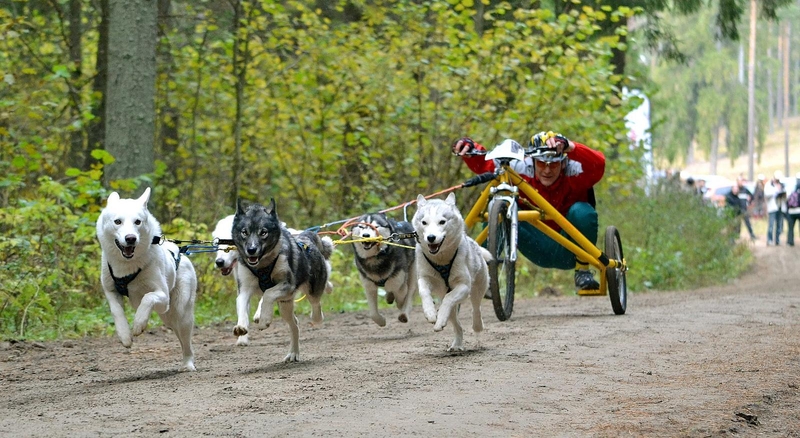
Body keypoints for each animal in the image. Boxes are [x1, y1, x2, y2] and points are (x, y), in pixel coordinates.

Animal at [96, 188, 198, 370]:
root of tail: (182, 253)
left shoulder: (163, 296)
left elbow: (148, 297)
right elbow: (116, 311)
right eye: (117, 221)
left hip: (180, 311)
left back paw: (188, 363)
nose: (130, 238)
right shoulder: (110, 290)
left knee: (186, 341)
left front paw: (138, 324)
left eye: (138, 222)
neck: (128, 267)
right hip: (167, 316)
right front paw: (125, 335)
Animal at [233, 199, 332, 362]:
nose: (251, 250)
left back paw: (316, 317)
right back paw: (293, 353)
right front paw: (241, 326)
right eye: (244, 232)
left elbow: (267, 294)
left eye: (263, 232)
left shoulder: (288, 284)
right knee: (294, 325)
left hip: (310, 290)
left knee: (316, 305)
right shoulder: (245, 288)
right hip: (285, 304)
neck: (262, 266)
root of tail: (307, 236)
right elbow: (242, 306)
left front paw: (264, 319)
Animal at [416, 193, 490, 350]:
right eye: (424, 222)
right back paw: (455, 342)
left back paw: (477, 326)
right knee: (457, 324)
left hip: (477, 288)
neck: (442, 260)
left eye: (442, 222)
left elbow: (449, 298)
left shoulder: (464, 286)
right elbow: (424, 292)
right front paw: (430, 313)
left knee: (476, 308)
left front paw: (438, 317)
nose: (431, 237)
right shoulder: (424, 277)